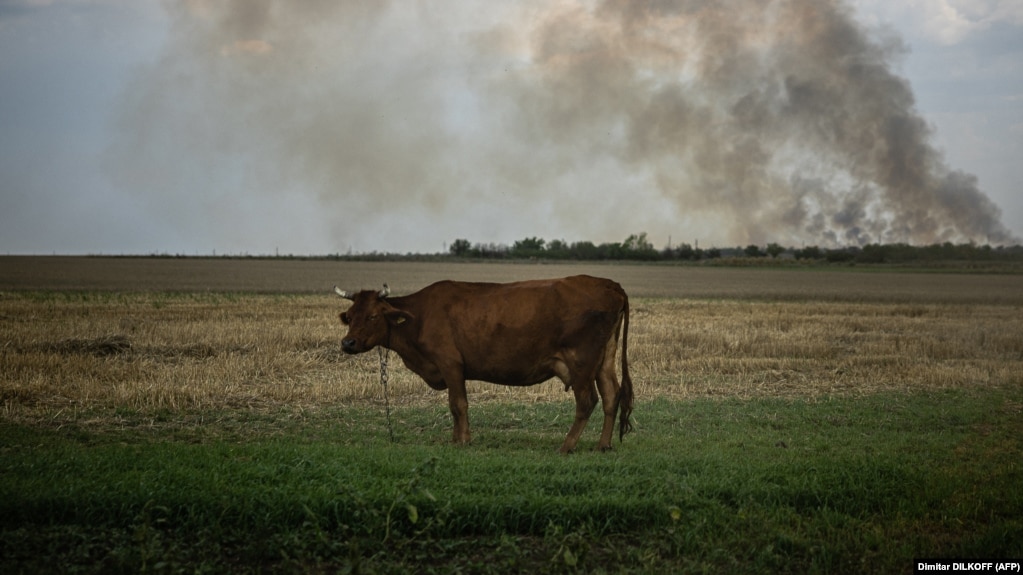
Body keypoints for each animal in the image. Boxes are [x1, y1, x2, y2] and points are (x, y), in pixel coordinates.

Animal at [333, 274, 630, 452]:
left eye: (373, 316)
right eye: (350, 315)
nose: (348, 343)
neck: (420, 316)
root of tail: (609, 284)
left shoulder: (450, 364)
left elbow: (458, 404)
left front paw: (463, 440)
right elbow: (454, 406)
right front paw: (456, 438)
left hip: (581, 362)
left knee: (587, 401)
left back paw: (567, 445)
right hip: (604, 360)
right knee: (611, 395)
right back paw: (603, 445)